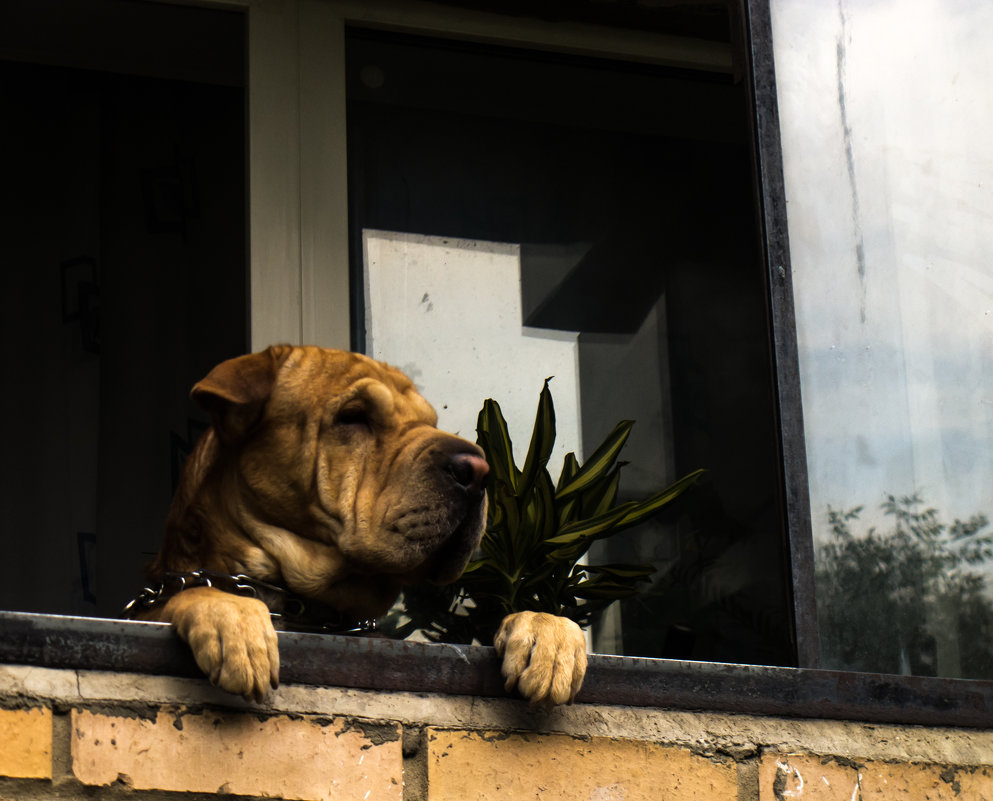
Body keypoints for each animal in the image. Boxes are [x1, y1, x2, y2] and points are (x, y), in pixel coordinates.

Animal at [135, 346, 584, 704]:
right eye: (353, 417)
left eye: (430, 422)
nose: (478, 471)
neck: (317, 611)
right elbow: (182, 598)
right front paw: (231, 614)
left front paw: (549, 635)